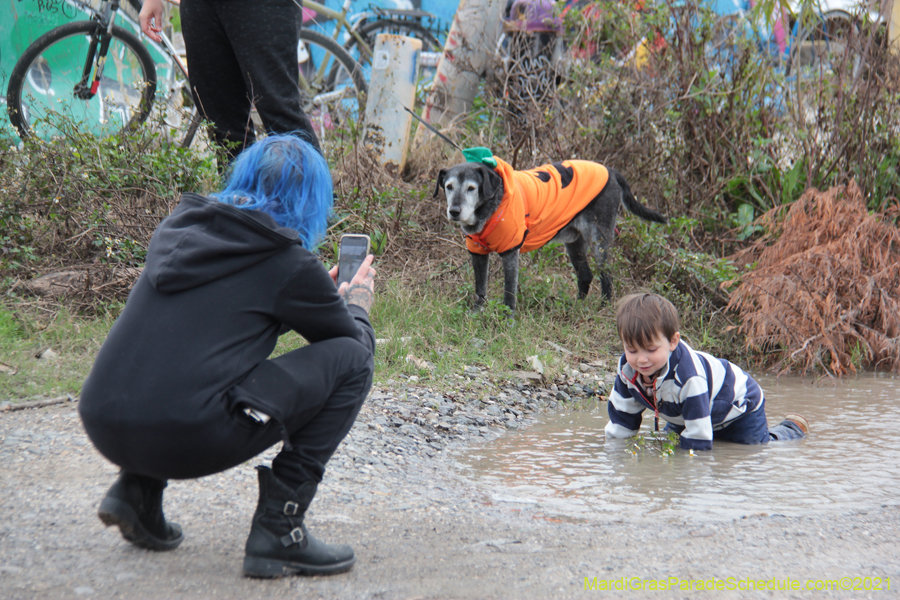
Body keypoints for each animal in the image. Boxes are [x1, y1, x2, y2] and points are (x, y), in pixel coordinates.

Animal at [436, 155, 668, 314]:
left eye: (471, 188)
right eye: (448, 186)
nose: (454, 211)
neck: (491, 207)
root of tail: (610, 171)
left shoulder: (510, 253)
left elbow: (509, 291)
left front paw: (508, 318)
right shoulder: (478, 253)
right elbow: (480, 287)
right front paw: (477, 312)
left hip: (599, 241)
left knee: (607, 276)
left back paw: (602, 307)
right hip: (575, 244)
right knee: (585, 275)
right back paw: (577, 307)